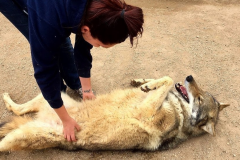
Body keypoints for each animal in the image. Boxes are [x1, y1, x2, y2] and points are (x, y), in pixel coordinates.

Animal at [0, 75, 229, 151]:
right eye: (201, 93)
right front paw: (144, 83)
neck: (179, 109)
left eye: (200, 99)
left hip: (21, 134)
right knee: (17, 108)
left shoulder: (146, 110)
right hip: (53, 97)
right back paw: (6, 97)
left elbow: (168, 78)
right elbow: (164, 79)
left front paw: (148, 85)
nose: (189, 77)